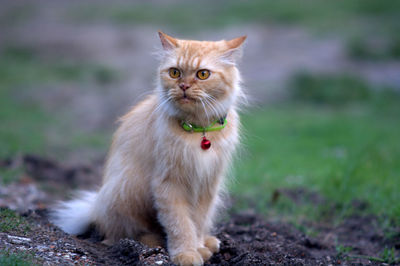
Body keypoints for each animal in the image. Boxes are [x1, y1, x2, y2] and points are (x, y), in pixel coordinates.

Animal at [51, 31, 245, 266]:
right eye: (174, 72)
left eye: (203, 74)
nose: (184, 86)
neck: (199, 131)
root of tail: (95, 208)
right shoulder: (168, 184)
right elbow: (180, 224)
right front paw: (187, 253)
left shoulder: (207, 185)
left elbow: (197, 221)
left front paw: (199, 246)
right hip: (128, 189)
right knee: (121, 235)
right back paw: (154, 242)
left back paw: (209, 242)